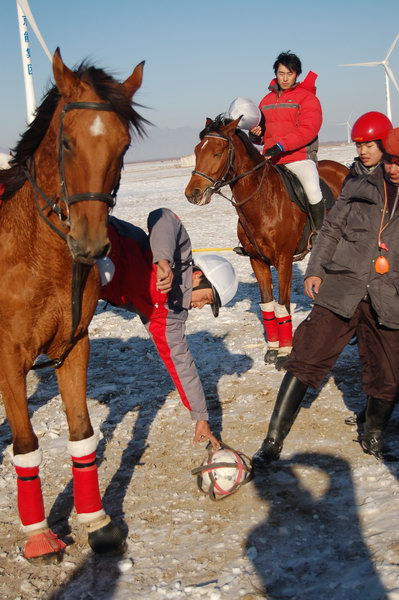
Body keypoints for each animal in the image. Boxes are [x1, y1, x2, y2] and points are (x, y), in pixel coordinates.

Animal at [0, 49, 147, 560]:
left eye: (123, 146)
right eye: (65, 143)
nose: (90, 244)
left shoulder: (74, 345)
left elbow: (82, 434)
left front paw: (96, 520)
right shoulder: (9, 359)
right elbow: (25, 443)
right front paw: (39, 534)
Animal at [186, 116, 348, 368]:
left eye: (217, 152)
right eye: (196, 151)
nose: (192, 193)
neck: (263, 202)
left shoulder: (284, 260)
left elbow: (283, 305)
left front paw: (285, 352)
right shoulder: (257, 260)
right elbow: (268, 304)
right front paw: (273, 349)